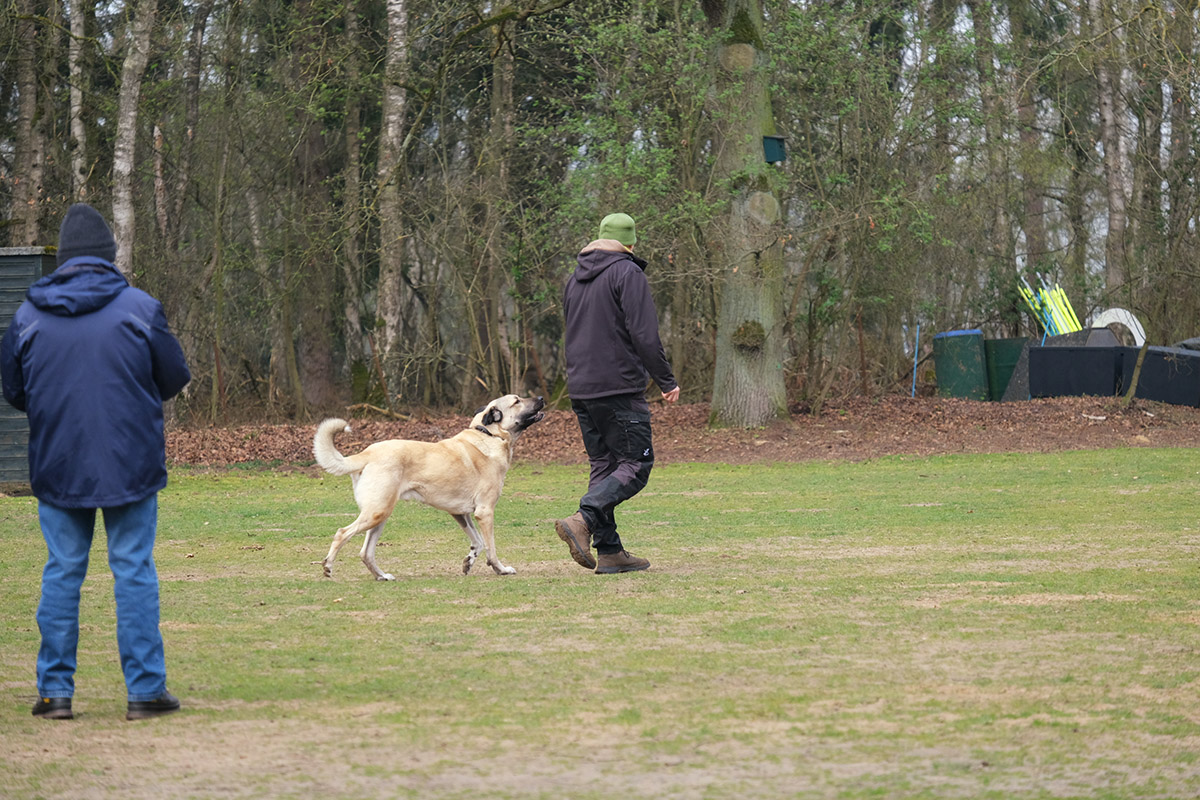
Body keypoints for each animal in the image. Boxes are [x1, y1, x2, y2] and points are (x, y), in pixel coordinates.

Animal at [314, 395, 549, 578]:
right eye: (517, 400)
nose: (541, 398)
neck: (489, 435)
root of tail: (366, 453)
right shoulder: (485, 512)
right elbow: (491, 547)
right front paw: (500, 569)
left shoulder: (461, 513)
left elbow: (478, 542)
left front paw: (468, 562)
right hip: (377, 512)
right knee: (342, 533)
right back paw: (327, 567)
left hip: (380, 515)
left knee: (366, 553)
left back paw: (382, 576)